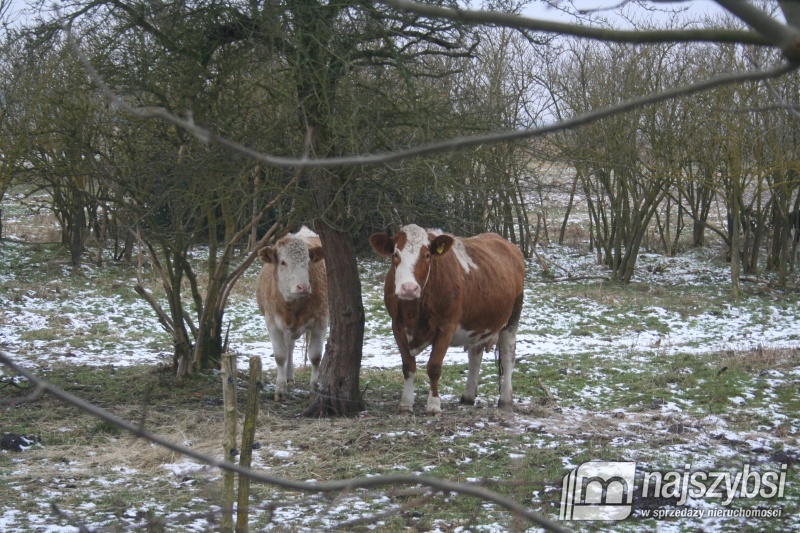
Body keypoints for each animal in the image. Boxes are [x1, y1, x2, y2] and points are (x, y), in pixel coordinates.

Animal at [258, 225, 330, 400]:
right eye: (283, 262)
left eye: (308, 261)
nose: (303, 287)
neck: (293, 306)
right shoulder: (272, 322)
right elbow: (280, 356)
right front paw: (280, 388)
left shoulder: (321, 321)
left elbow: (315, 356)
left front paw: (314, 388)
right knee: (289, 346)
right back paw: (288, 375)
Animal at [370, 222, 524, 414]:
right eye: (395, 254)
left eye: (427, 255)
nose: (409, 288)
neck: (414, 310)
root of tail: (506, 243)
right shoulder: (397, 326)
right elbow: (408, 366)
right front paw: (405, 404)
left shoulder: (446, 326)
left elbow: (434, 367)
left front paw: (434, 405)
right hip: (478, 322)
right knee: (475, 354)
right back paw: (468, 395)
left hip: (512, 317)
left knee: (508, 354)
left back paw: (505, 400)